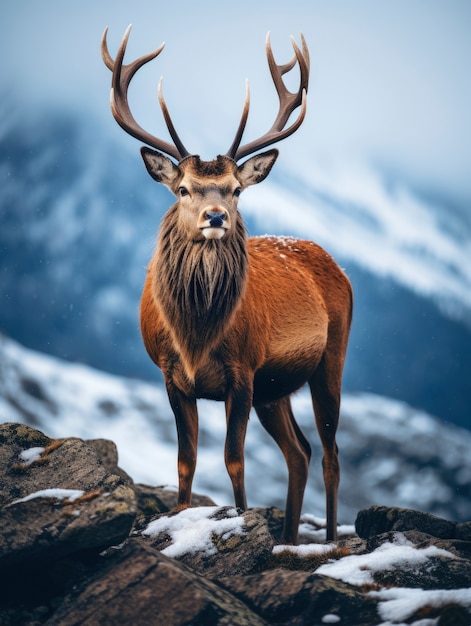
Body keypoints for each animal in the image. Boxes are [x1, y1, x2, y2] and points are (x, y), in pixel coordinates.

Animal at [103, 24, 354, 540]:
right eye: (183, 189)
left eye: (237, 189)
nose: (216, 216)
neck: (197, 335)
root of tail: (334, 264)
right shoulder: (171, 375)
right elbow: (186, 461)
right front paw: (180, 517)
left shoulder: (243, 371)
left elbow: (234, 460)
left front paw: (238, 519)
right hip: (275, 388)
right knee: (299, 452)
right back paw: (287, 540)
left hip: (329, 359)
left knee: (331, 453)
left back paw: (329, 540)